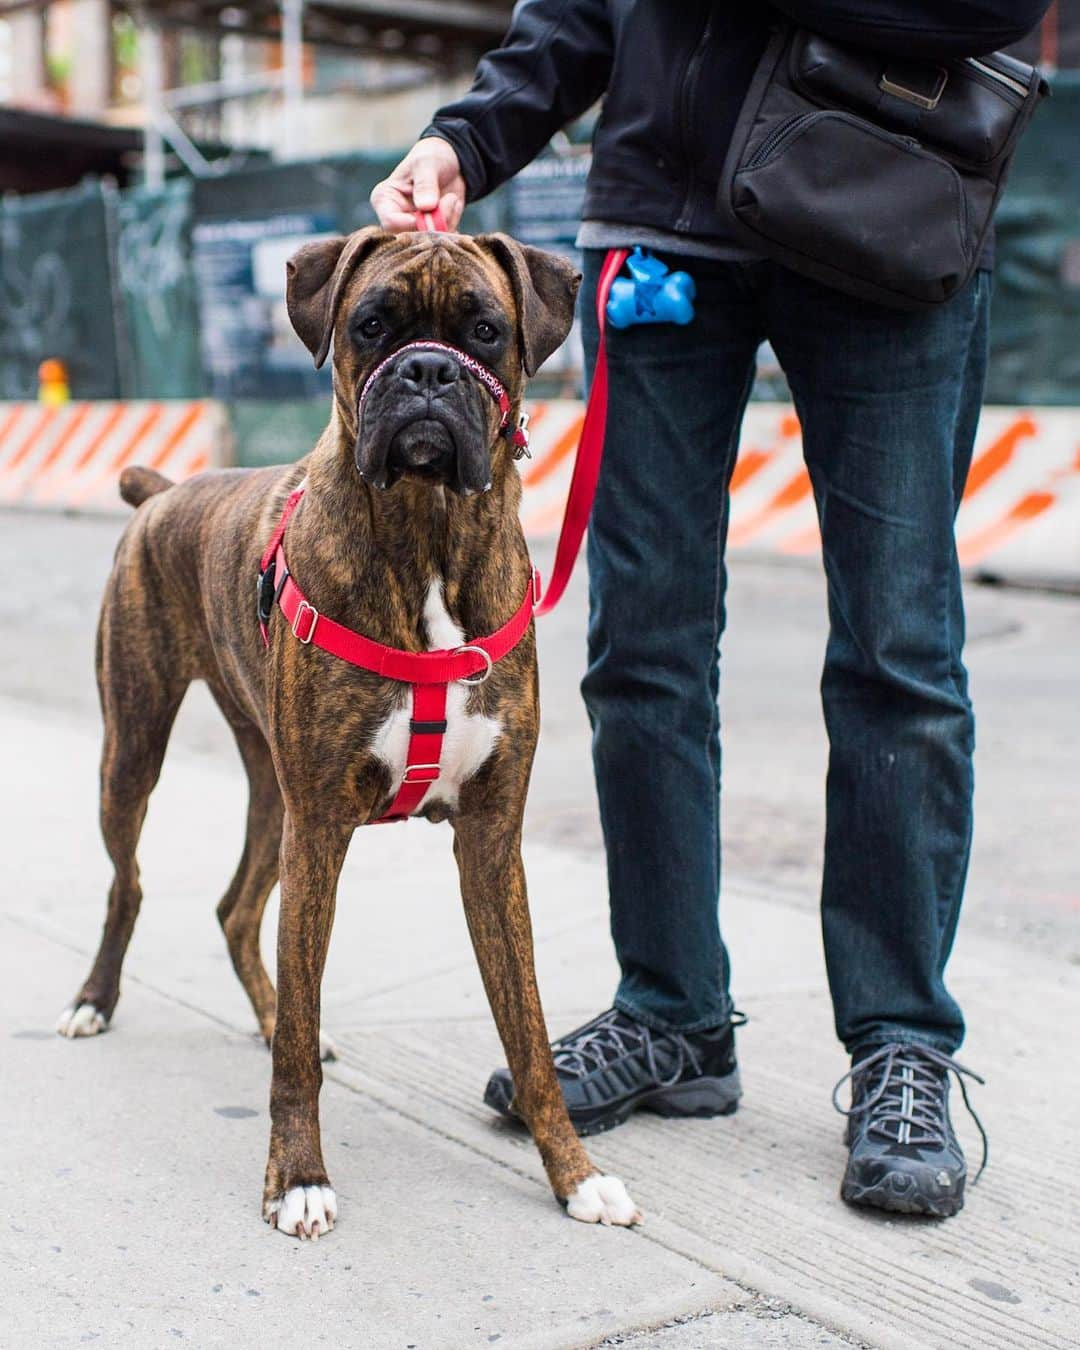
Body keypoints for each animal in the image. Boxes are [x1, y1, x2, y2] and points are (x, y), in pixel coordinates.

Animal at [57, 226, 642, 1236]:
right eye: (371, 325)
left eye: (485, 331)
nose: (425, 372)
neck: (427, 531)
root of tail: (163, 492)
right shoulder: (323, 829)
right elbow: (300, 1042)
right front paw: (297, 1178)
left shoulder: (489, 841)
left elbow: (527, 1031)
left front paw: (574, 1173)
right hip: (133, 753)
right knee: (128, 884)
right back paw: (96, 1000)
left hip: (269, 793)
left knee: (236, 909)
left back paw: (260, 1014)